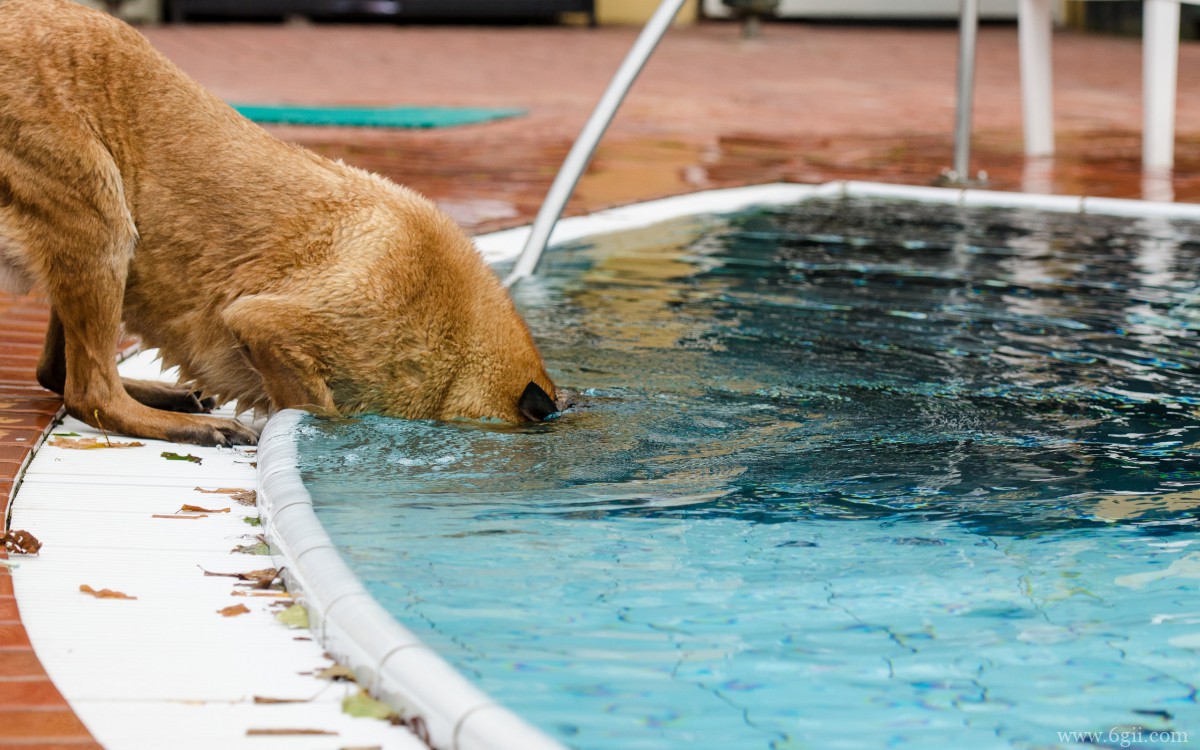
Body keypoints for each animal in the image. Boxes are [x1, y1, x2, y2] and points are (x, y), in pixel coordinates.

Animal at [0, 0, 559, 444]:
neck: (461, 344)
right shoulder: (267, 325)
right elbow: (320, 409)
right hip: (104, 221)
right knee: (88, 392)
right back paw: (191, 425)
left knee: (56, 373)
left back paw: (170, 397)